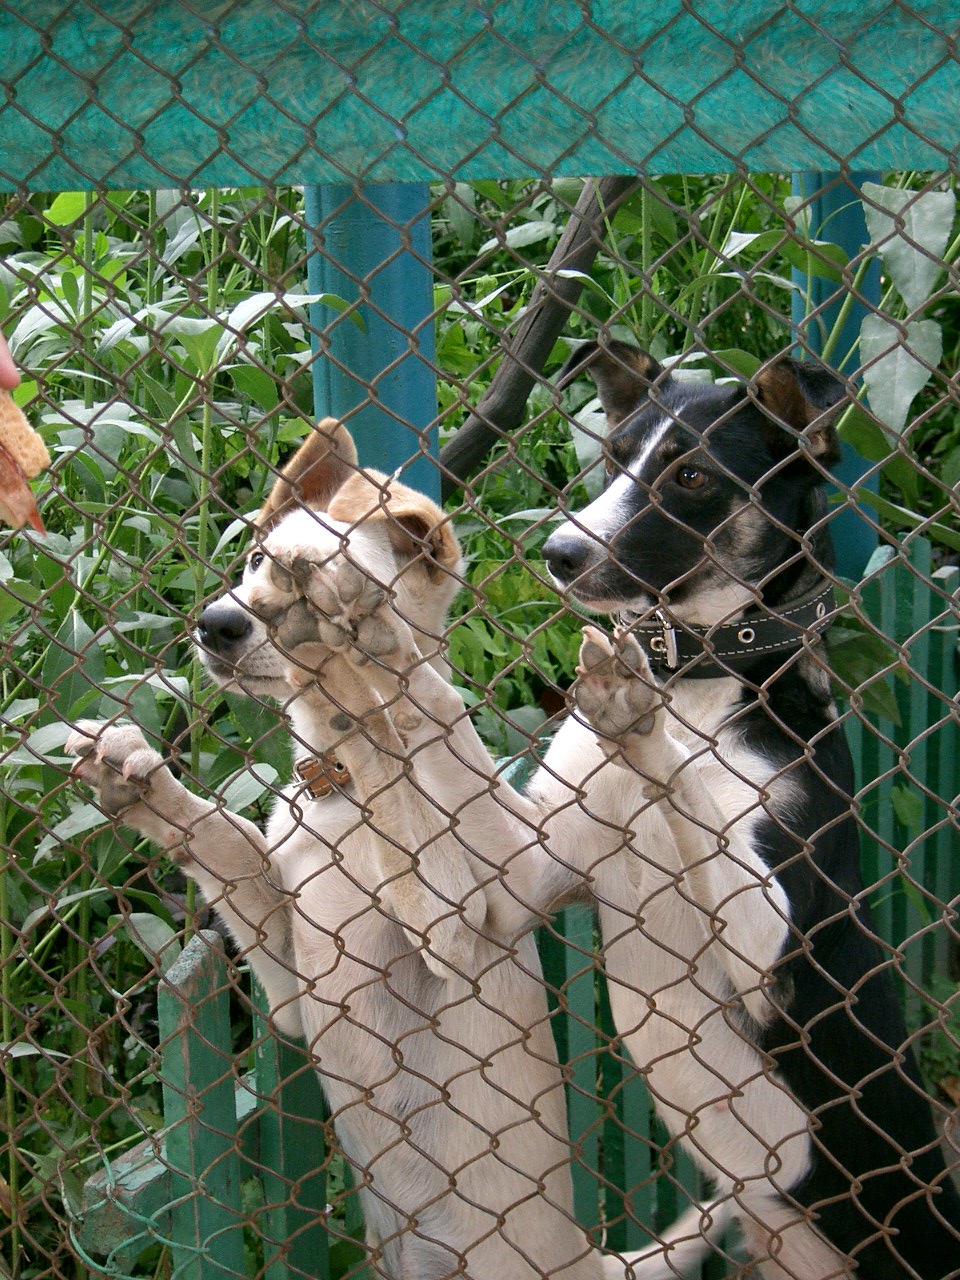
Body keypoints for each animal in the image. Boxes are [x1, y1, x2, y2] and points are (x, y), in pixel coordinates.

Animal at [65, 419, 606, 1280]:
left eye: (311, 576)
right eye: (255, 558)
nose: (217, 624)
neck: (337, 794)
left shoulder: (454, 928)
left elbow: (397, 727)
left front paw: (361, 673)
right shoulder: (287, 985)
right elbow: (221, 840)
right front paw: (141, 786)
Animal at [318, 343, 960, 1278]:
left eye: (689, 476)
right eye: (614, 456)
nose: (558, 552)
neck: (697, 684)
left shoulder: (773, 946)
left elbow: (688, 790)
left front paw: (640, 721)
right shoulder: (527, 877)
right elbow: (439, 715)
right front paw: (385, 642)